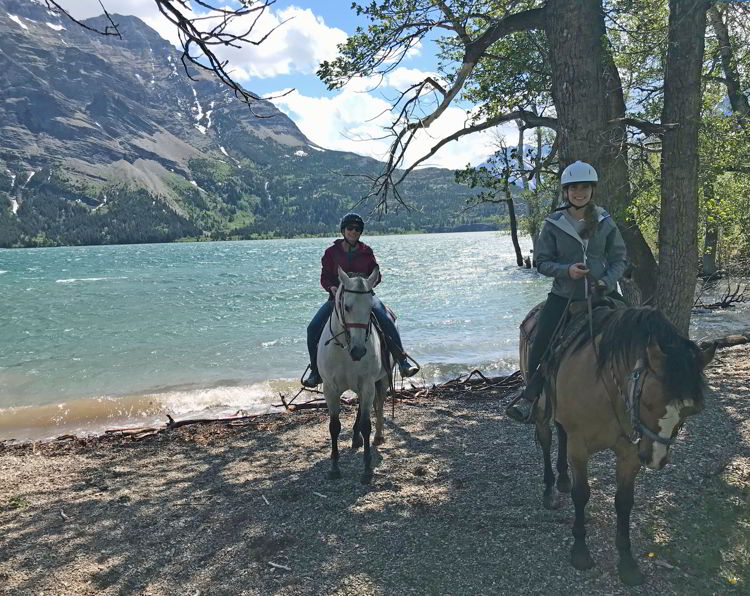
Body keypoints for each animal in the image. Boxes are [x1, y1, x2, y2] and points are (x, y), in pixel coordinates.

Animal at [318, 266, 390, 484]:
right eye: (347, 307)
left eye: (370, 308)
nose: (359, 351)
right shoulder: (330, 389)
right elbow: (334, 426)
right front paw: (334, 468)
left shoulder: (367, 385)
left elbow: (367, 424)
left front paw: (366, 469)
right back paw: (356, 439)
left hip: (381, 382)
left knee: (379, 405)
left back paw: (378, 436)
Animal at [520, 304, 720, 584]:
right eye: (647, 401)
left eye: (692, 410)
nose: (655, 458)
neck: (606, 388)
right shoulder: (579, 447)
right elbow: (581, 494)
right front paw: (580, 551)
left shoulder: (629, 453)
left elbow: (624, 501)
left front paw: (627, 562)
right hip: (540, 410)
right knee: (547, 440)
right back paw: (549, 490)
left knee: (560, 434)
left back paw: (563, 479)